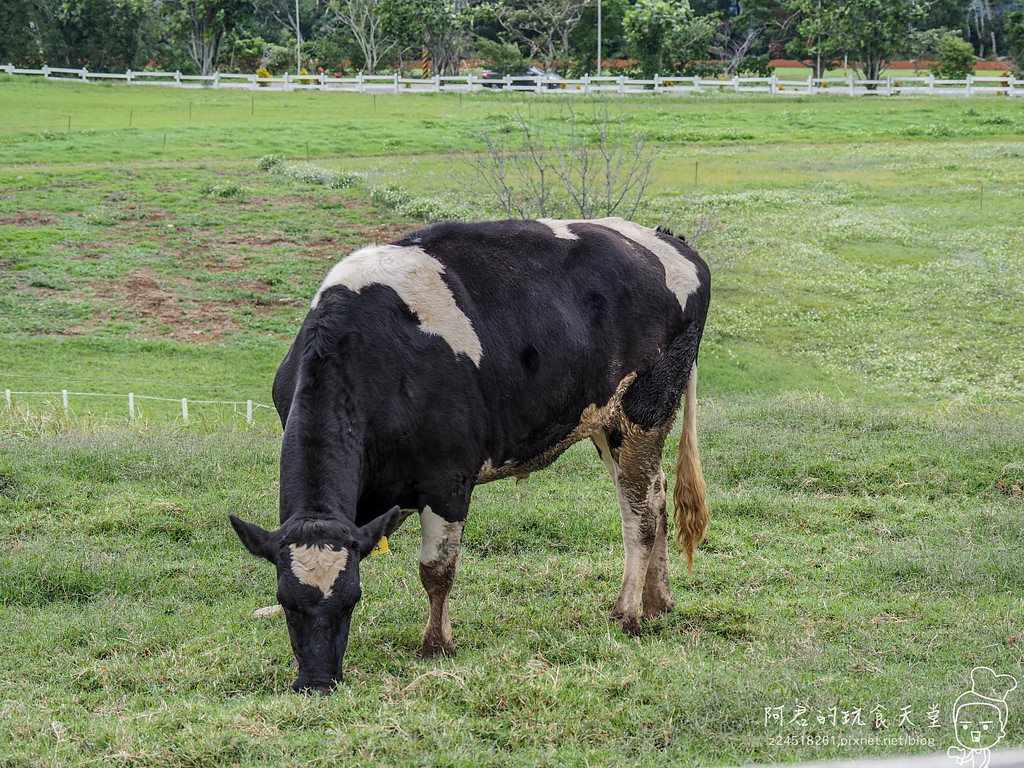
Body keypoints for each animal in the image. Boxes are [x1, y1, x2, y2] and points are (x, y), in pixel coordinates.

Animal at [232, 218, 712, 696]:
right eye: (285, 600)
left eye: (353, 598)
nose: (316, 683)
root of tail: (667, 239)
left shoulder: (447, 481)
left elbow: (436, 569)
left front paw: (436, 644)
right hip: (604, 423)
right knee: (659, 495)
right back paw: (658, 600)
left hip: (643, 412)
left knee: (641, 515)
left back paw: (627, 612)